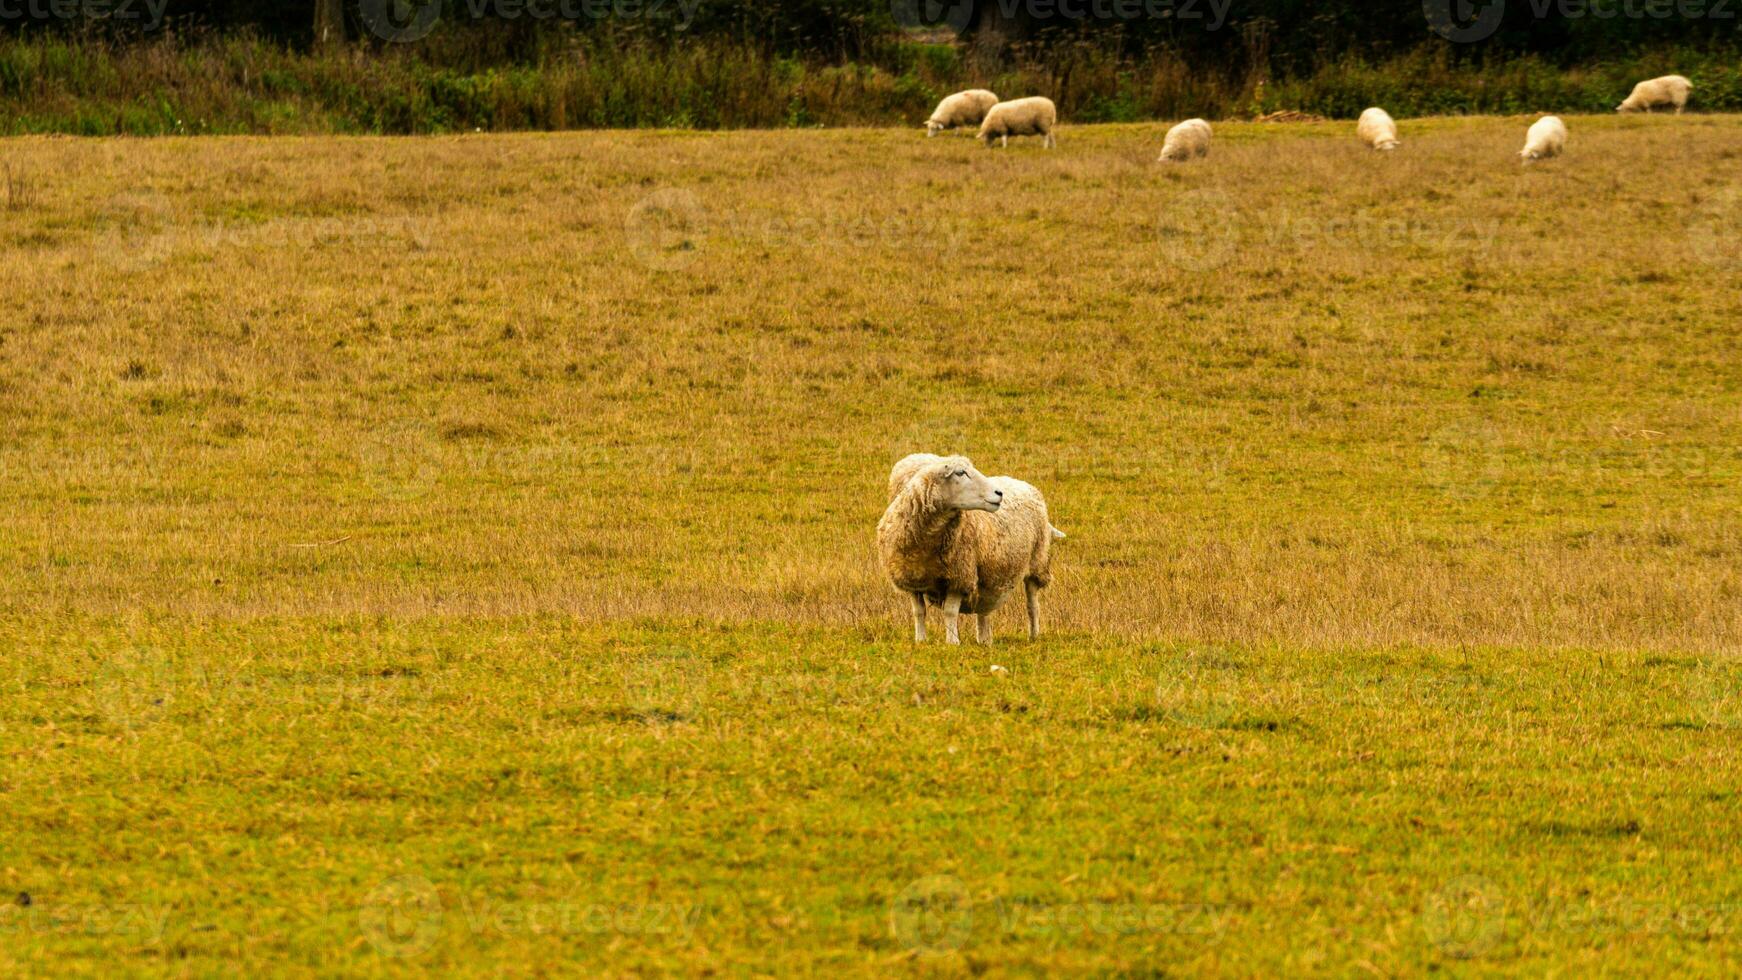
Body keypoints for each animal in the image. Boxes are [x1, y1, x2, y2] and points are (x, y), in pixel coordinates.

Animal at [877, 456, 1066, 647]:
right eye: (960, 473)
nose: (999, 493)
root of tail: (1024, 484)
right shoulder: (912, 579)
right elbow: (919, 612)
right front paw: (920, 640)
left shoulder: (959, 577)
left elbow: (950, 612)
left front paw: (952, 642)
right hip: (989, 575)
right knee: (984, 609)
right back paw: (984, 640)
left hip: (1037, 563)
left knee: (1032, 605)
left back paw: (1033, 635)